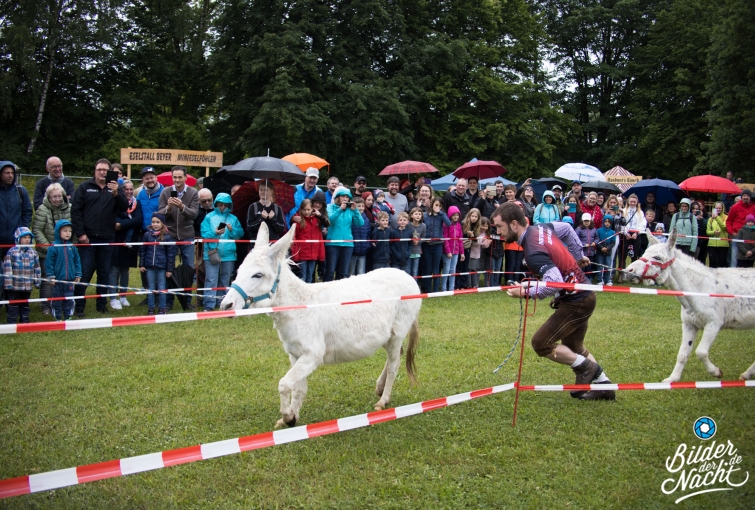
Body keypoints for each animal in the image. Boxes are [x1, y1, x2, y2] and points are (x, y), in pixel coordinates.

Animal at [220, 223, 422, 428]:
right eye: (239, 270)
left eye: (258, 275)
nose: (225, 306)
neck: (299, 307)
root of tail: (407, 276)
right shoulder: (295, 354)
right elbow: (298, 388)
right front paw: (292, 417)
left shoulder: (313, 355)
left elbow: (284, 384)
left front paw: (288, 415)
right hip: (388, 337)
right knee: (392, 358)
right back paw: (380, 388)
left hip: (397, 333)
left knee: (394, 365)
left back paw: (383, 400)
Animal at [625, 229, 755, 382]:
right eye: (644, 252)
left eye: (657, 257)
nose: (628, 271)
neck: (699, 290)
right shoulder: (689, 325)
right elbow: (682, 355)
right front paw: (672, 379)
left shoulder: (714, 324)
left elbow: (701, 352)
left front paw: (716, 372)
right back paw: (747, 374)